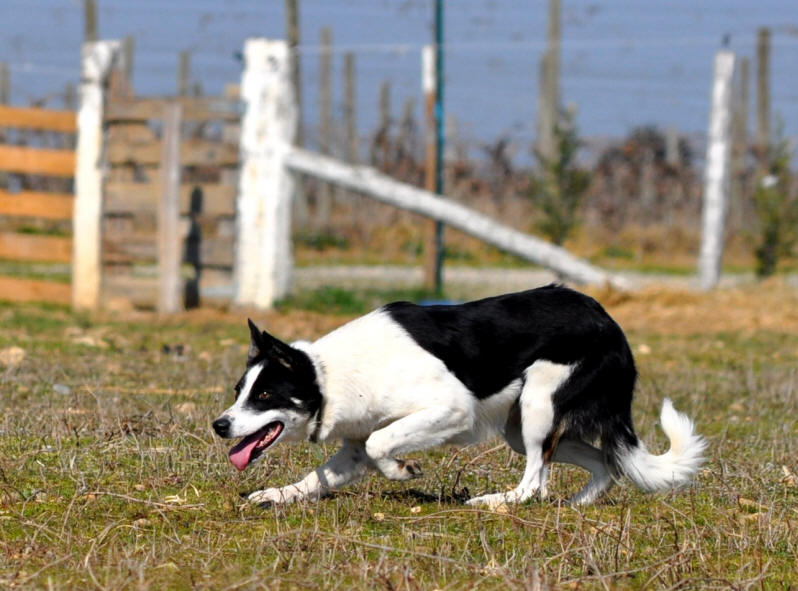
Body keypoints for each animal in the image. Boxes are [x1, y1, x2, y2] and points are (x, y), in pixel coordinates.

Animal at [212, 284, 708, 506]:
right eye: (240, 391)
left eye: (265, 394)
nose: (219, 425)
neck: (329, 376)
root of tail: (610, 323)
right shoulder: (352, 445)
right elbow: (322, 474)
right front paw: (276, 494)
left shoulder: (451, 409)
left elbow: (381, 444)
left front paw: (404, 470)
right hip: (520, 426)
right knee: (604, 463)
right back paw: (574, 506)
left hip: (538, 405)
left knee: (536, 479)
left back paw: (497, 503)